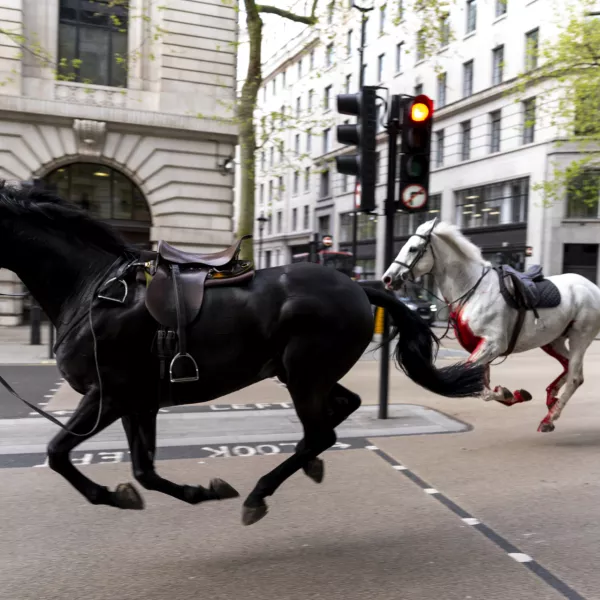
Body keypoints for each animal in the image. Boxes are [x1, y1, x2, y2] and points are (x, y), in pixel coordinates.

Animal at [0, 184, 486, 524]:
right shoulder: (138, 401)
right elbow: (143, 471)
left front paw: (110, 494)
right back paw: (306, 464)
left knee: (320, 433)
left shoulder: (109, 394)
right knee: (340, 409)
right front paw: (196, 491)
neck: (95, 291)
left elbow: (58, 452)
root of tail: (356, 286)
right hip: (303, 373)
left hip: (304, 373)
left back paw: (261, 492)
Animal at [382, 219, 600, 432]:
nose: (388, 278)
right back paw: (551, 400)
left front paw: (507, 393)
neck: (474, 290)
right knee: (568, 367)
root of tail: (593, 287)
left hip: (580, 336)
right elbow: (482, 385)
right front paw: (513, 394)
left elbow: (477, 385)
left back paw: (549, 417)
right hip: (553, 340)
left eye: (413, 248)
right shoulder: (482, 346)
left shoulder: (492, 344)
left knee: (575, 377)